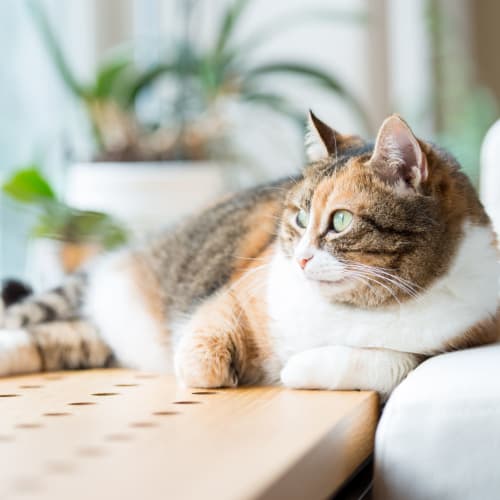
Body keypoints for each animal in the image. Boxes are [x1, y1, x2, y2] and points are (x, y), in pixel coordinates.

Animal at [0, 114, 500, 398]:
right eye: (300, 216)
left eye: (340, 220)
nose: (301, 259)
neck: (348, 309)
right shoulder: (234, 293)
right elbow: (201, 355)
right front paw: (223, 370)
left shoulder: (464, 334)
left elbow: (393, 361)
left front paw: (296, 369)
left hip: (93, 336)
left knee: (54, 339)